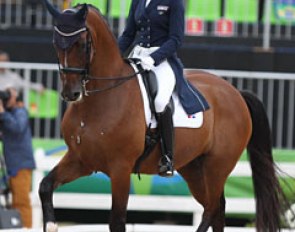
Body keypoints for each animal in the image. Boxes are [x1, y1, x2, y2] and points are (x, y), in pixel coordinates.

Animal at [39, 2, 290, 232]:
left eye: (81, 44)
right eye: (55, 44)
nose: (71, 93)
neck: (99, 102)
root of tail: (236, 92)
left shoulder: (120, 169)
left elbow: (117, 222)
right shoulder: (81, 160)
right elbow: (45, 186)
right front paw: (51, 225)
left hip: (218, 165)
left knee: (211, 209)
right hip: (194, 168)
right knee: (217, 209)